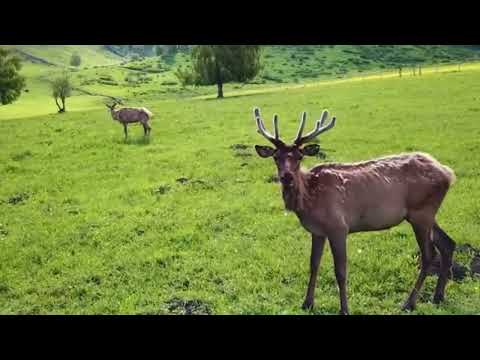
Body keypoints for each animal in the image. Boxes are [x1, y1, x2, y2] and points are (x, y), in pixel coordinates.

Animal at [253, 107, 456, 316]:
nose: (287, 177)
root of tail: (448, 173)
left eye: (299, 157)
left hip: (421, 213)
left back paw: (409, 303)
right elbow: (313, 265)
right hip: (426, 214)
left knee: (429, 255)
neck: (309, 201)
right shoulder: (317, 231)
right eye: (276, 157)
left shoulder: (338, 227)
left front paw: (344, 309)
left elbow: (340, 271)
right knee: (448, 243)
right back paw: (438, 296)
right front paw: (307, 303)